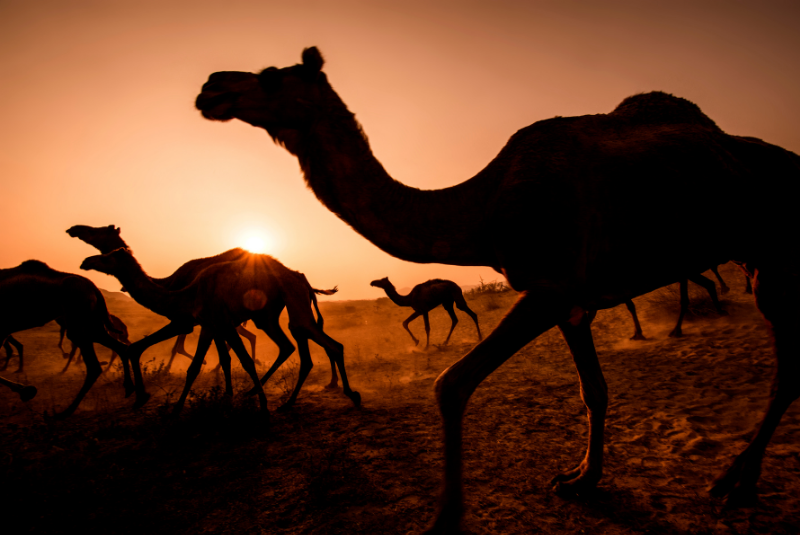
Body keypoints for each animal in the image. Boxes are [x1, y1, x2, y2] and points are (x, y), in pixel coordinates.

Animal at [0, 260, 144, 418]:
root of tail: (94, 287)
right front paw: (26, 390)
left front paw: (26, 390)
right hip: (94, 324)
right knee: (120, 347)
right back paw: (130, 389)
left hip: (78, 319)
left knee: (94, 365)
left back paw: (65, 412)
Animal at [68, 224, 346, 393]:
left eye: (97, 230)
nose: (74, 229)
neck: (170, 283)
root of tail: (299, 274)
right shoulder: (204, 322)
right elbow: (221, 357)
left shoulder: (187, 321)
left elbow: (189, 350)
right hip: (269, 314)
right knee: (302, 337)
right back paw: (330, 382)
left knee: (306, 335)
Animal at [196, 47, 800, 532]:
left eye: (270, 76)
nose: (210, 87)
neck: (482, 209)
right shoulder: (571, 302)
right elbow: (594, 390)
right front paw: (580, 480)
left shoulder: (548, 287)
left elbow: (451, 384)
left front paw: (444, 519)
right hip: (755, 258)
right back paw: (735, 480)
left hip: (777, 259)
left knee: (786, 371)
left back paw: (736, 484)